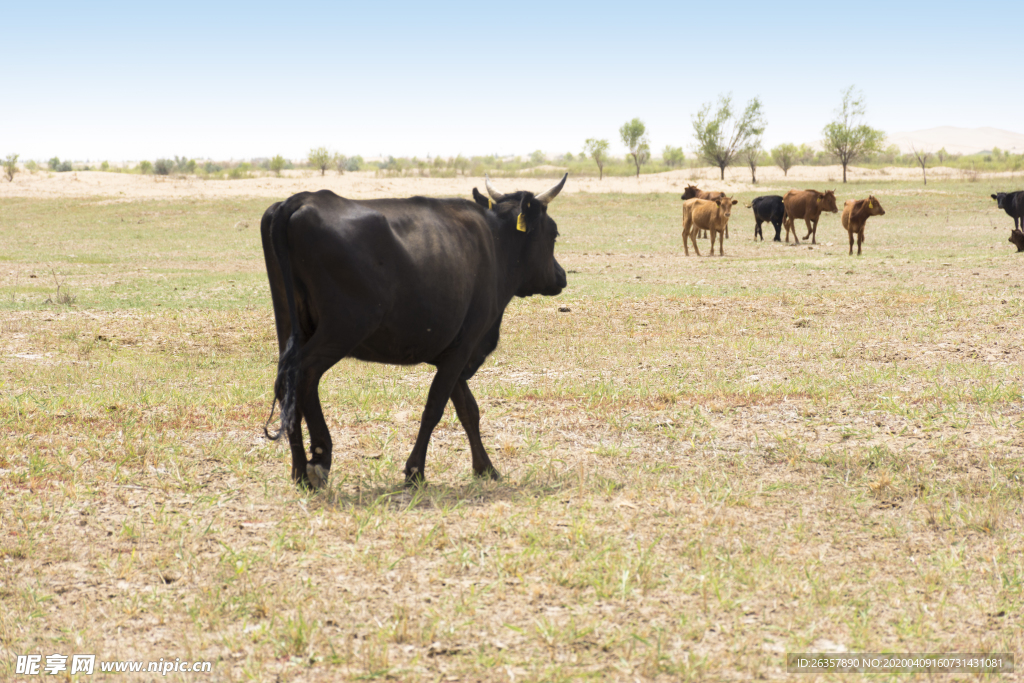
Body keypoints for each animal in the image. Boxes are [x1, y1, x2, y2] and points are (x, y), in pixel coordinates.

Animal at [262, 175, 569, 485]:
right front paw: (415, 470)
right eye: (554, 234)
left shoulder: (454, 351)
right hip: (341, 330)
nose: (562, 276)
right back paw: (320, 458)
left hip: (290, 324)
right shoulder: (464, 345)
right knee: (303, 375)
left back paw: (300, 471)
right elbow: (435, 407)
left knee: (285, 384)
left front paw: (485, 467)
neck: (496, 244)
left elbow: (468, 409)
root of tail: (301, 199)